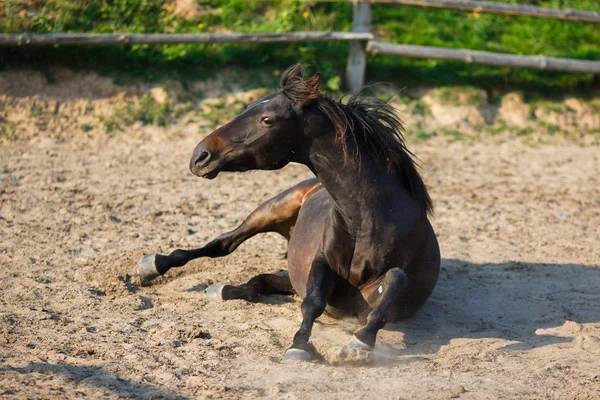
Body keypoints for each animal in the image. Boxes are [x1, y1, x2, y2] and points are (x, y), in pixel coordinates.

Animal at [139, 64, 440, 360]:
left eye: (267, 119)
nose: (200, 156)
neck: (370, 221)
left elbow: (394, 281)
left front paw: (359, 343)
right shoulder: (321, 263)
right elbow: (313, 302)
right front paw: (299, 346)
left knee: (261, 281)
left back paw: (224, 289)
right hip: (270, 210)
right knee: (223, 244)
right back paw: (154, 265)